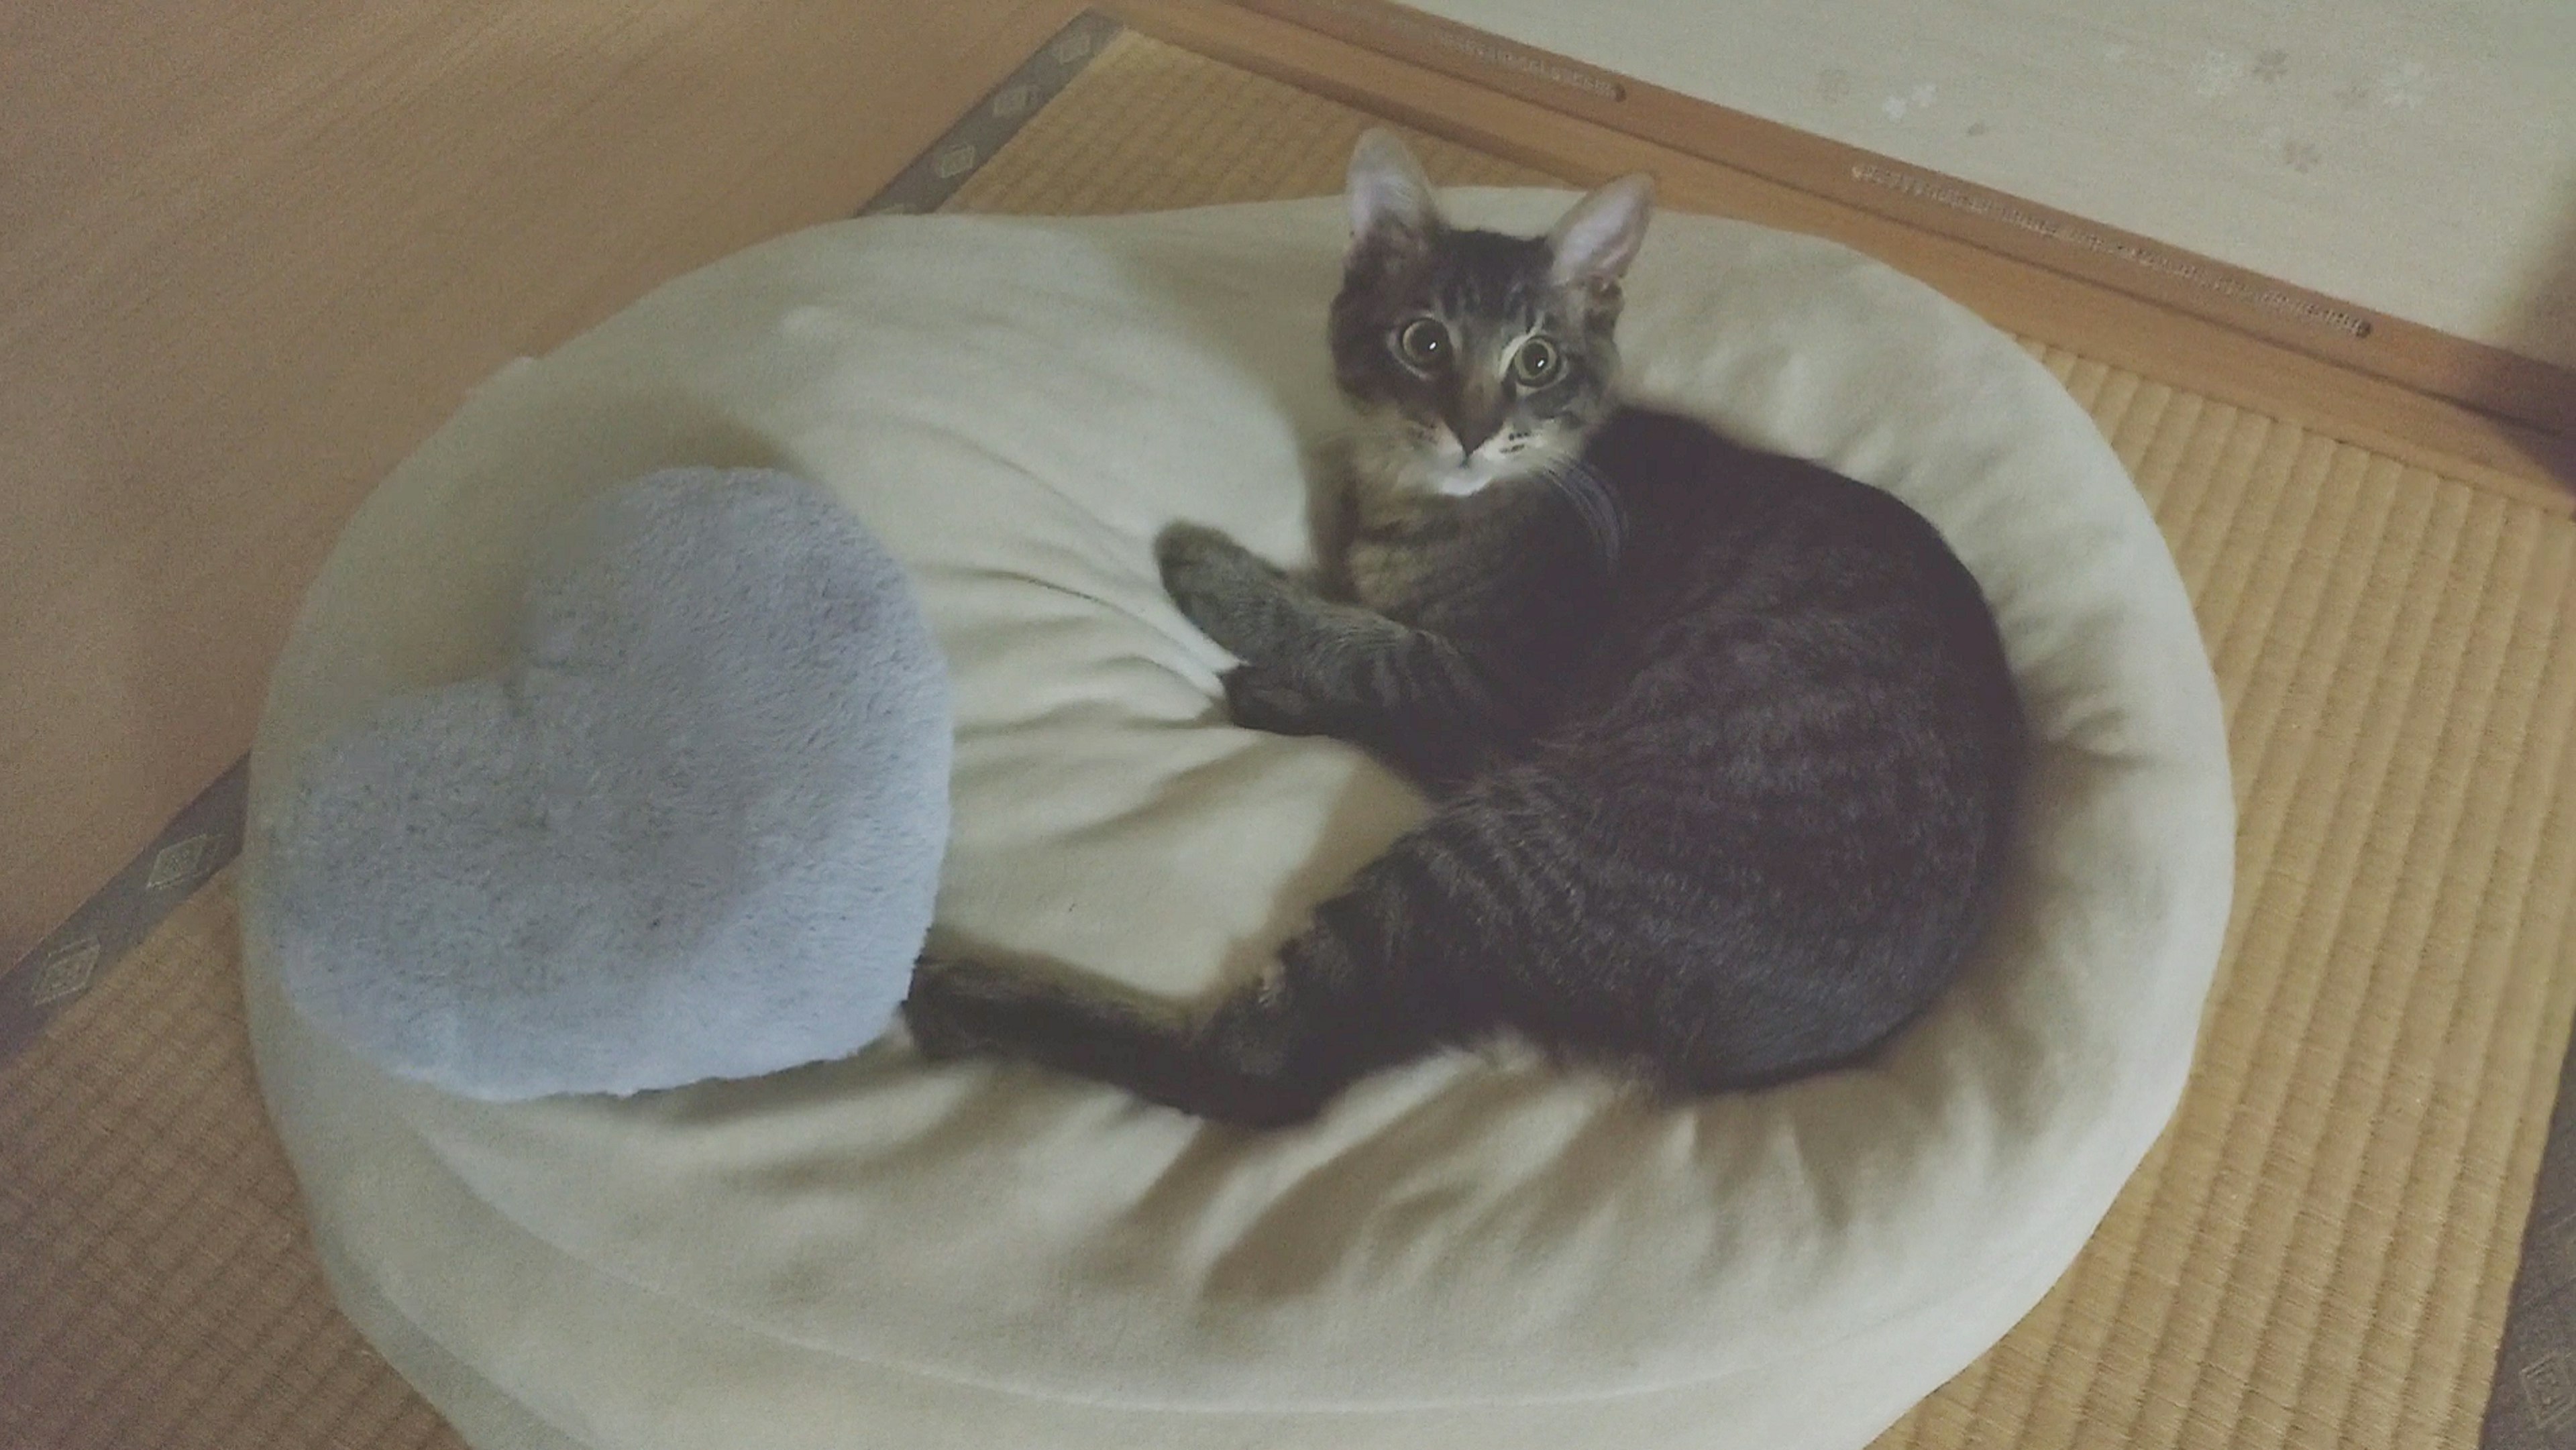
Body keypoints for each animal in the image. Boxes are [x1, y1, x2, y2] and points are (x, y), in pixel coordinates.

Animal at [896, 130, 2019, 1127]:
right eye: (1424, 341)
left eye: (1538, 360)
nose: (1475, 429)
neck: (1425, 500)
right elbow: (1364, 628)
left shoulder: (1497, 689)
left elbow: (1362, 642)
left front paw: (1219, 576)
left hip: (1495, 860)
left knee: (1260, 1071)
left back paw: (964, 993)